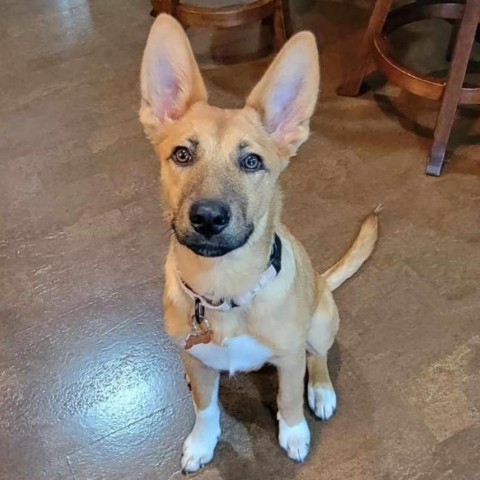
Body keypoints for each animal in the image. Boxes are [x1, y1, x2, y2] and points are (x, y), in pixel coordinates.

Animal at [139, 14, 378, 472]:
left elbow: (288, 397)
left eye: (251, 162)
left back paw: (321, 390)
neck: (223, 289)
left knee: (318, 356)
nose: (208, 217)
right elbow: (206, 406)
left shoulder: (288, 358)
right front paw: (202, 442)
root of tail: (321, 280)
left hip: (321, 322)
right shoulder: (197, 359)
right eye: (181, 155)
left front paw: (295, 433)